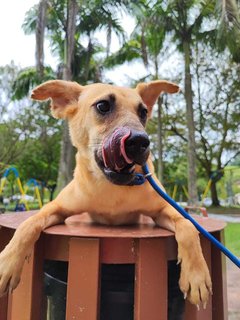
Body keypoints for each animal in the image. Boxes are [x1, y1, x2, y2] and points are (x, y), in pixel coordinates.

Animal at [0, 79, 211, 308]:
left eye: (143, 112)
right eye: (103, 106)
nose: (140, 142)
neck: (111, 188)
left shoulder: (164, 208)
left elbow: (188, 225)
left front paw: (196, 276)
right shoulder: (56, 207)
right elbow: (28, 224)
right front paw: (7, 262)